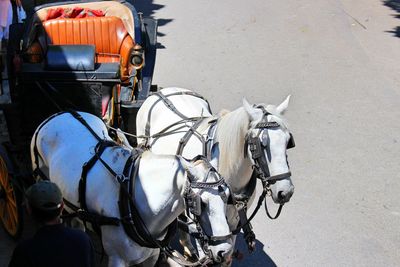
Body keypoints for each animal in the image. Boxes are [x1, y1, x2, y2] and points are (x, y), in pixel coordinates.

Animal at [30, 111, 234, 267]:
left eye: (227, 198)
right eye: (201, 204)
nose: (225, 252)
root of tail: (59, 114)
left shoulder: (151, 256)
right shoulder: (117, 259)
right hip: (43, 180)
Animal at [136, 87, 296, 264]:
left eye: (288, 141)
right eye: (260, 144)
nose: (285, 191)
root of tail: (163, 92)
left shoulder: (233, 222)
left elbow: (226, 255)